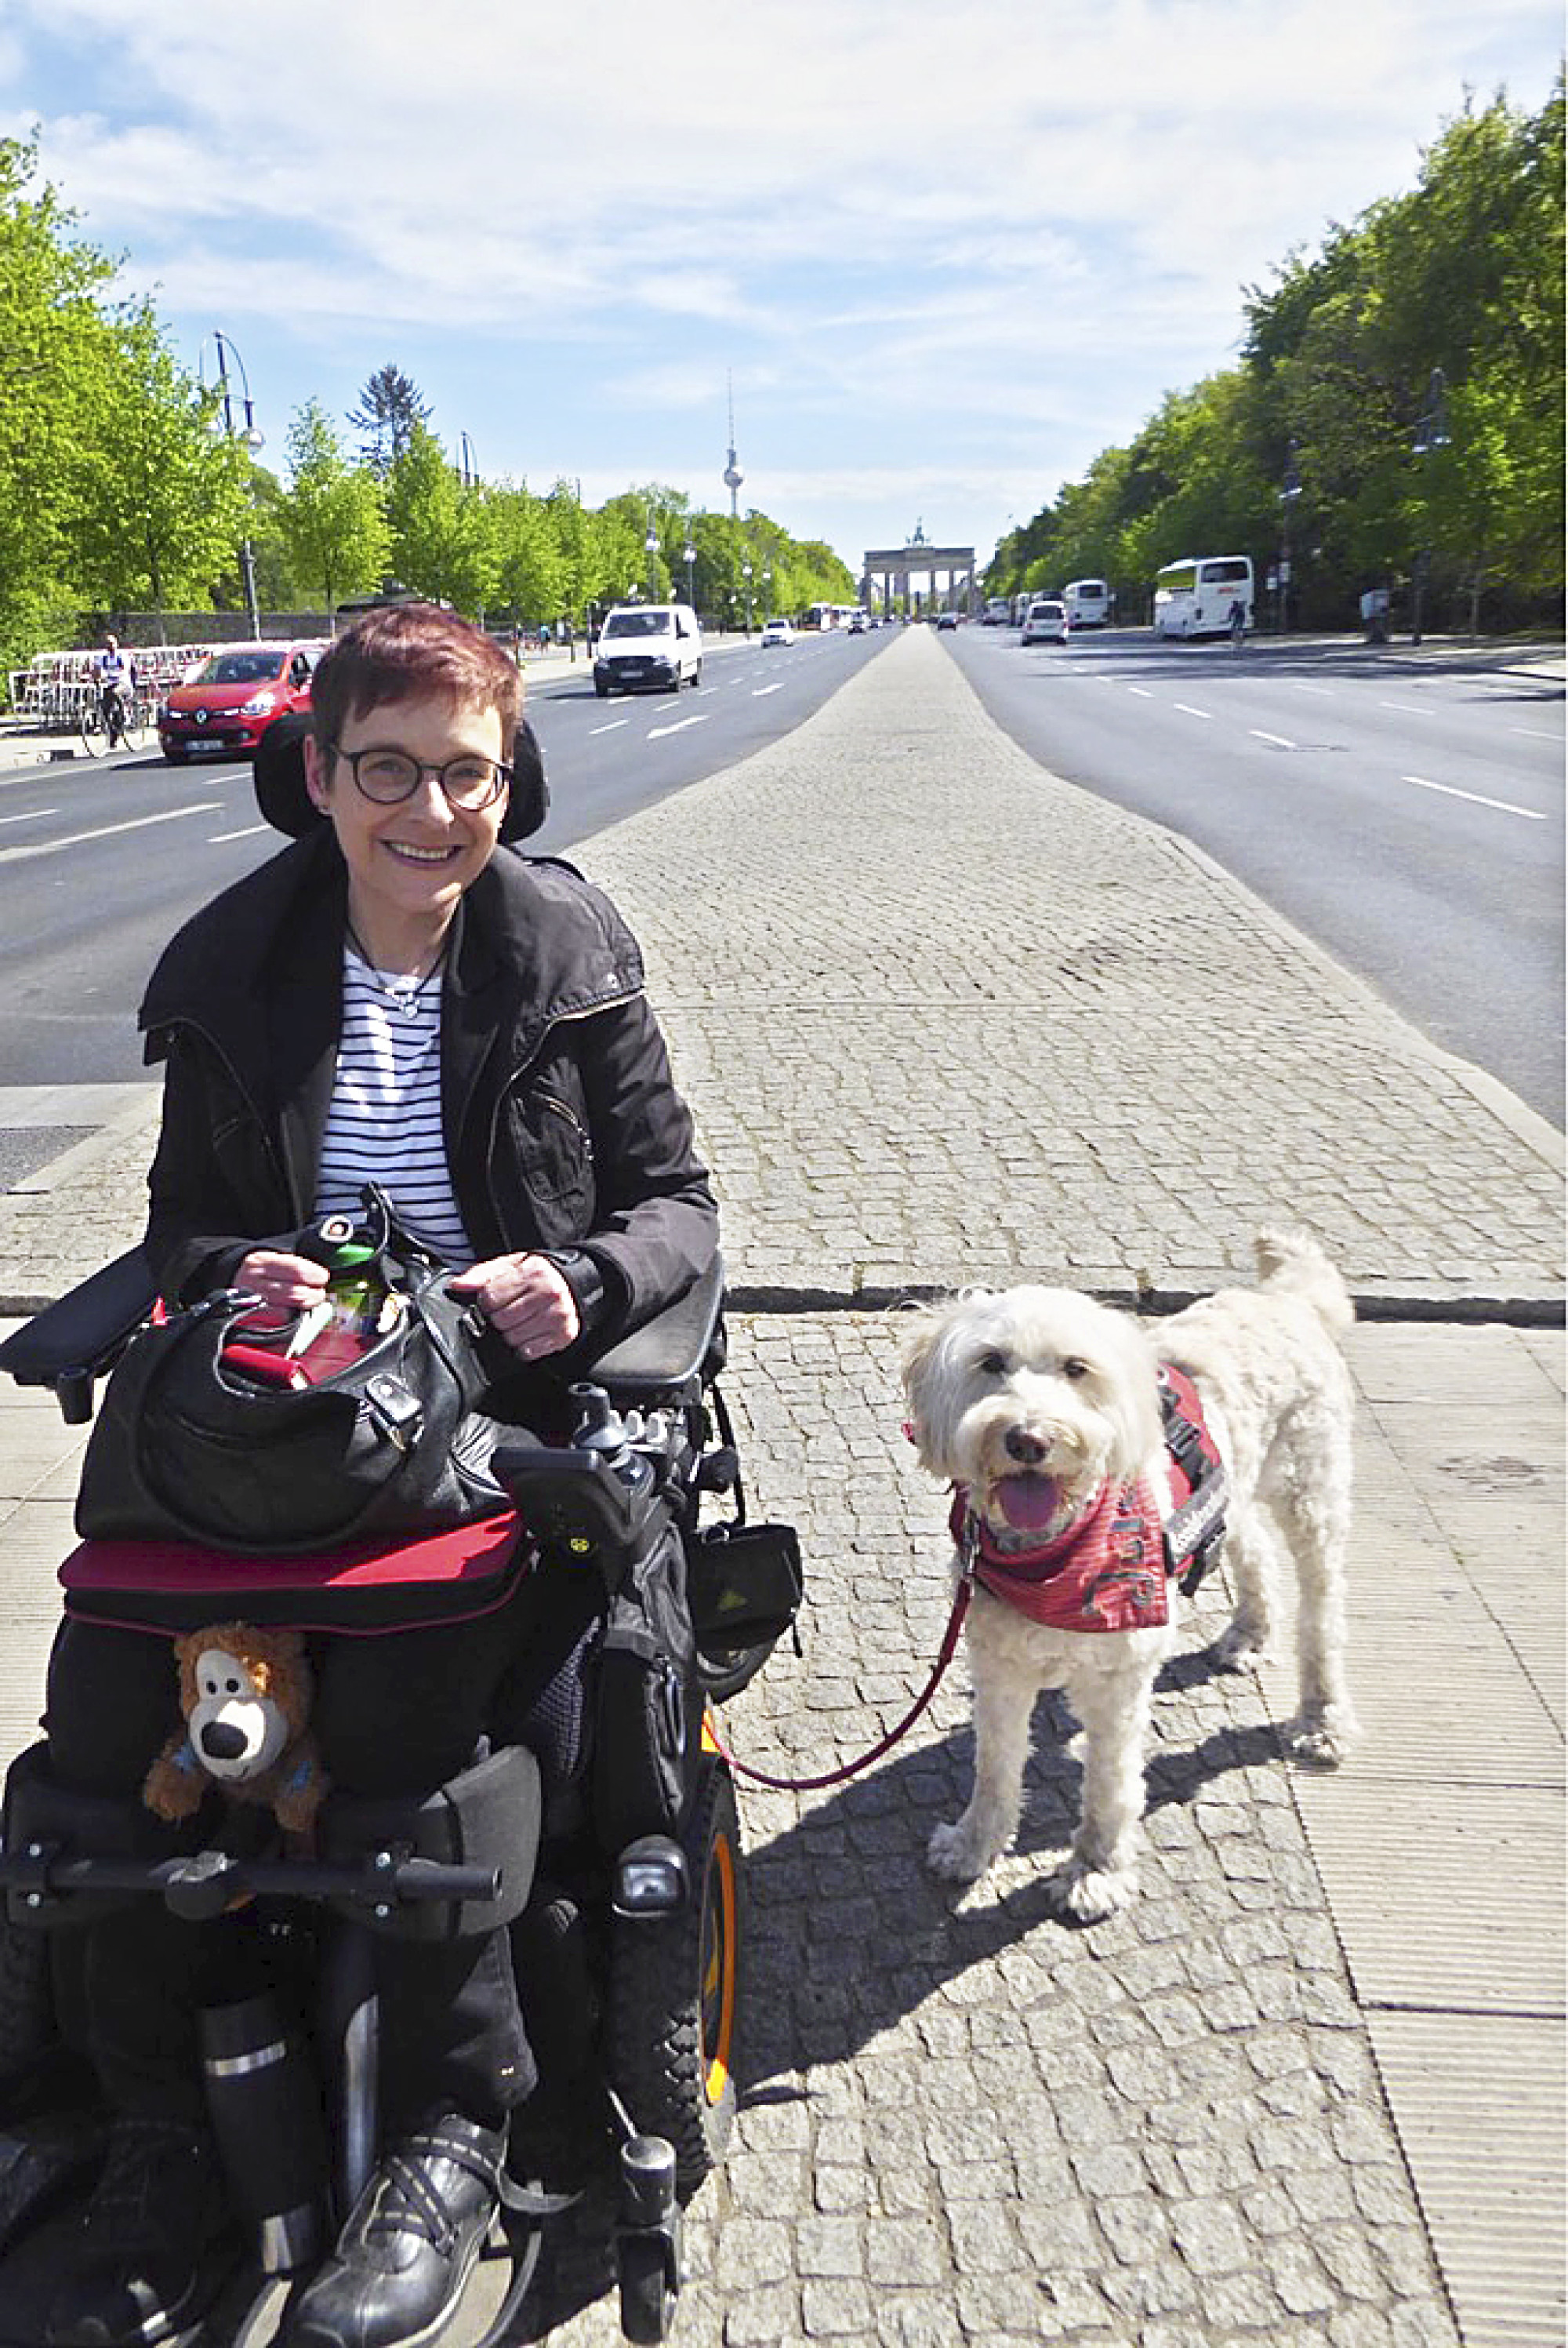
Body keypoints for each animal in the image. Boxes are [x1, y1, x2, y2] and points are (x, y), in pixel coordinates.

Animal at [906, 1239, 1361, 1916]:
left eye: (1076, 1368)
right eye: (991, 1363)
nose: (1028, 1438)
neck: (1055, 1556)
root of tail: (1284, 1296)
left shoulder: (1116, 1681)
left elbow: (1111, 1783)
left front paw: (1096, 1871)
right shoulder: (998, 1665)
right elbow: (995, 1765)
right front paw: (974, 1844)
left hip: (1314, 1495)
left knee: (1322, 1615)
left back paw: (1323, 1719)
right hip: (1234, 1486)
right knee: (1251, 1546)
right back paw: (1250, 1633)